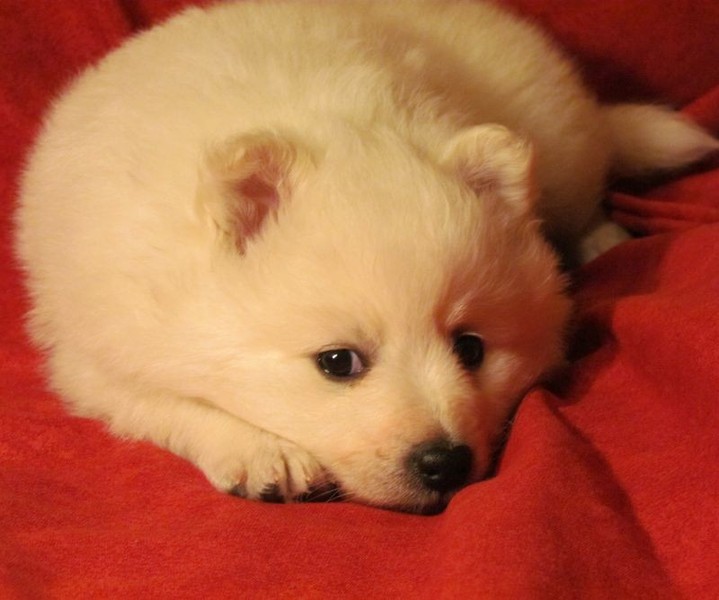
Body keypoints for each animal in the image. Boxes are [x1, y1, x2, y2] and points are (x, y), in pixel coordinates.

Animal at [15, 0, 717, 513]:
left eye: (471, 348)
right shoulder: (94, 351)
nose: (445, 462)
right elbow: (161, 401)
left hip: (560, 144)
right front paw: (260, 451)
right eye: (337, 362)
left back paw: (603, 239)